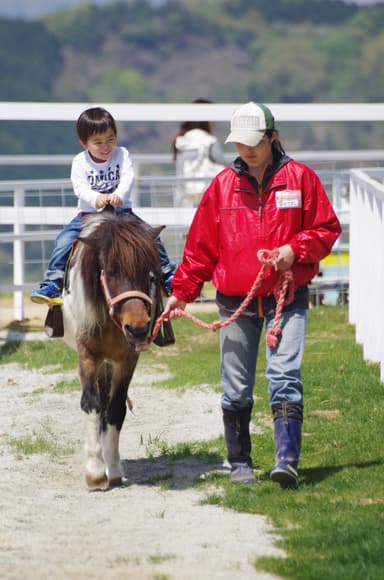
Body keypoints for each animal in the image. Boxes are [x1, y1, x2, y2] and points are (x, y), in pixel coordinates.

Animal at [62, 208, 164, 490]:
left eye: (150, 274)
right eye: (109, 272)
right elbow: (91, 404)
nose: (138, 329)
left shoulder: (127, 359)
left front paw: (113, 468)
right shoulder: (87, 356)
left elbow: (116, 409)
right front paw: (95, 472)